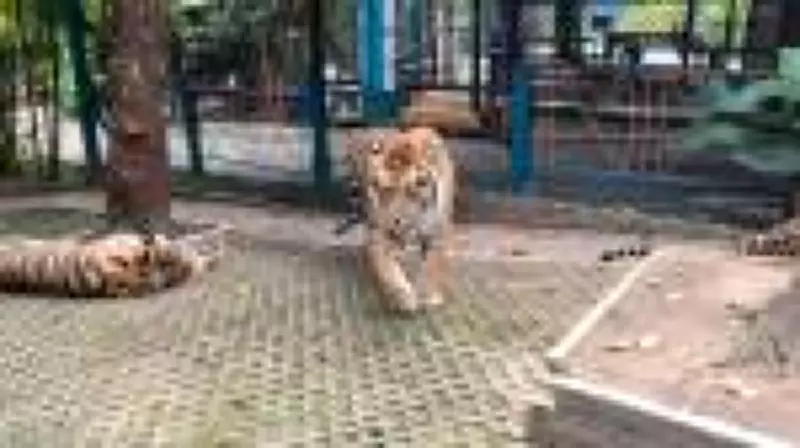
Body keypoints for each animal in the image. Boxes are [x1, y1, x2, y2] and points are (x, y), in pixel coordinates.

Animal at [339, 126, 456, 313]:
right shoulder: (380, 234)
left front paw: (429, 296)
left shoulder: (437, 231)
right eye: (382, 189)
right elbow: (388, 270)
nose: (393, 221)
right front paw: (403, 298)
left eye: (411, 189)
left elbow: (432, 264)